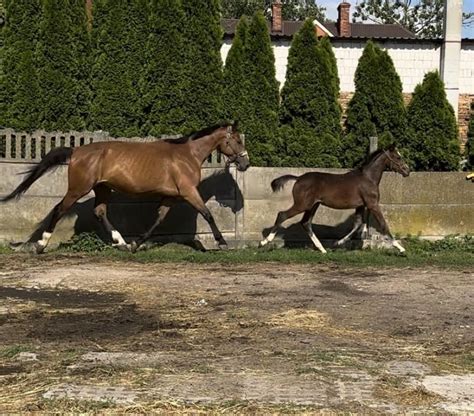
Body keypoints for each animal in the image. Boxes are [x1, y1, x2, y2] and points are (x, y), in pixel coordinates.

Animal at [0, 122, 250, 254]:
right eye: (238, 140)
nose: (245, 163)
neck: (187, 155)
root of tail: (76, 151)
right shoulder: (188, 192)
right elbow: (207, 214)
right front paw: (222, 242)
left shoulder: (170, 197)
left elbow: (159, 219)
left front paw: (135, 244)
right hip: (79, 188)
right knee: (59, 209)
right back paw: (41, 245)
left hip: (102, 189)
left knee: (99, 212)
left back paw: (120, 241)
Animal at [262, 143, 410, 254]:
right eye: (398, 157)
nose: (407, 171)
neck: (368, 178)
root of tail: (298, 178)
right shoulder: (372, 204)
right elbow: (384, 224)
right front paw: (400, 247)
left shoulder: (360, 206)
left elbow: (357, 224)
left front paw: (338, 242)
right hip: (302, 204)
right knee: (282, 215)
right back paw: (265, 241)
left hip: (313, 205)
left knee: (305, 222)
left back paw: (322, 249)